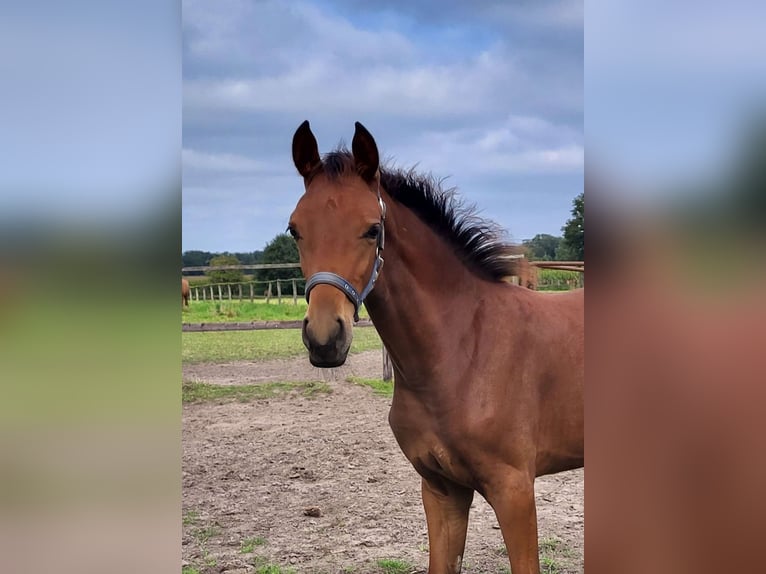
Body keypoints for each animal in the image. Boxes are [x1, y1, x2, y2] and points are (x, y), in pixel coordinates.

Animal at [286, 122, 584, 574]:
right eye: (295, 229)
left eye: (372, 229)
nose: (324, 339)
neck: (461, 352)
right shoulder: (441, 489)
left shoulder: (514, 489)